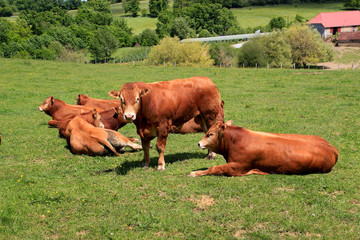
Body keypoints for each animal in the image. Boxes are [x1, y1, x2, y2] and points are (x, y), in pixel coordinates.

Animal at [190, 121, 338, 177]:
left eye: (210, 134)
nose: (198, 143)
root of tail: (331, 147)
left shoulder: (237, 167)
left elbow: (215, 168)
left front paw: (194, 173)